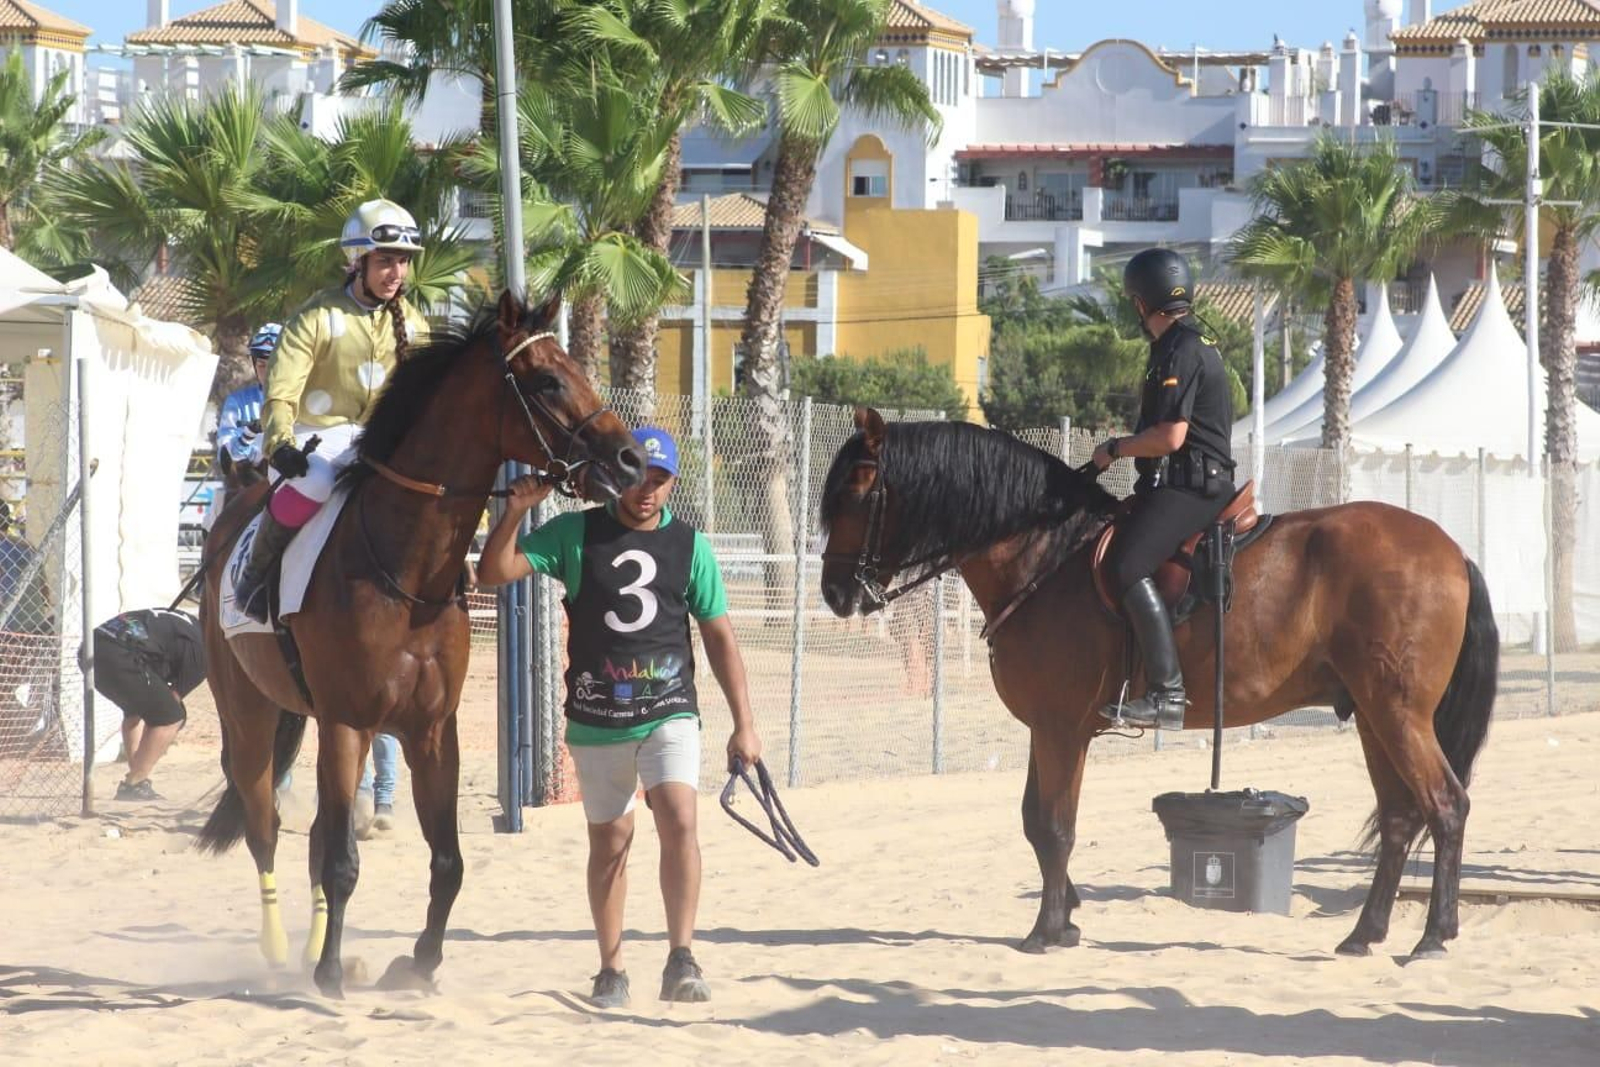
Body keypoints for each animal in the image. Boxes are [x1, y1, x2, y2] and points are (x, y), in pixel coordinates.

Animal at [195, 291, 644, 997]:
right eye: (547, 380)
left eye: (576, 366)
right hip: (248, 716)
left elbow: (447, 860)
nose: (629, 460)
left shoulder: (433, 730)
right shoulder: (349, 723)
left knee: (313, 836)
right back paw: (279, 949)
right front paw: (330, 974)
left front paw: (419, 962)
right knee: (265, 825)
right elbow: (342, 861)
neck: (404, 572)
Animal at [819, 408, 1497, 961]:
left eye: (856, 492)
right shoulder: (1053, 729)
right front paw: (1067, 918)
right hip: (1373, 716)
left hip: (1398, 714)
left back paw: (1432, 936)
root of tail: (1450, 548)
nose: (834, 593)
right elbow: (1035, 821)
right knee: (1400, 817)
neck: (1046, 555)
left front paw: (1047, 930)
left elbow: (1053, 824)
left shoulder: (1060, 730)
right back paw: (1364, 934)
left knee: (1447, 805)